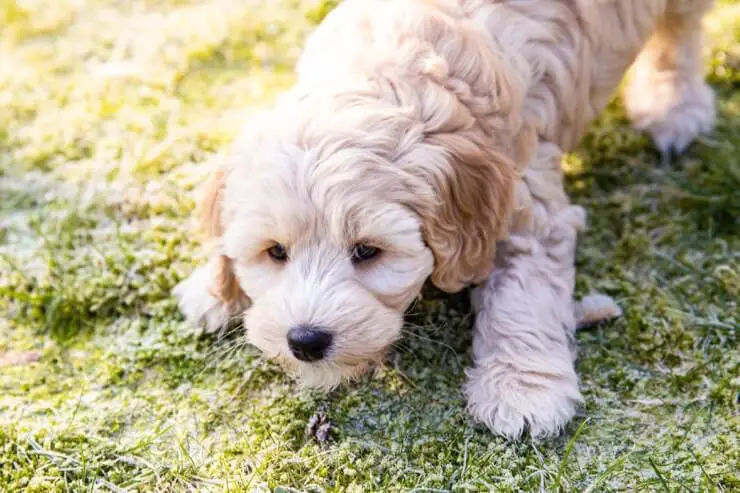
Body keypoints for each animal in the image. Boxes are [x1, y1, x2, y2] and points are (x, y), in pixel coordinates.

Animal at [175, 0, 716, 438]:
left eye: (367, 251)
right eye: (275, 252)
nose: (306, 341)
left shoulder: (526, 203)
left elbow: (524, 296)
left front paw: (523, 390)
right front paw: (212, 289)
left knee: (680, 30)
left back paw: (673, 105)